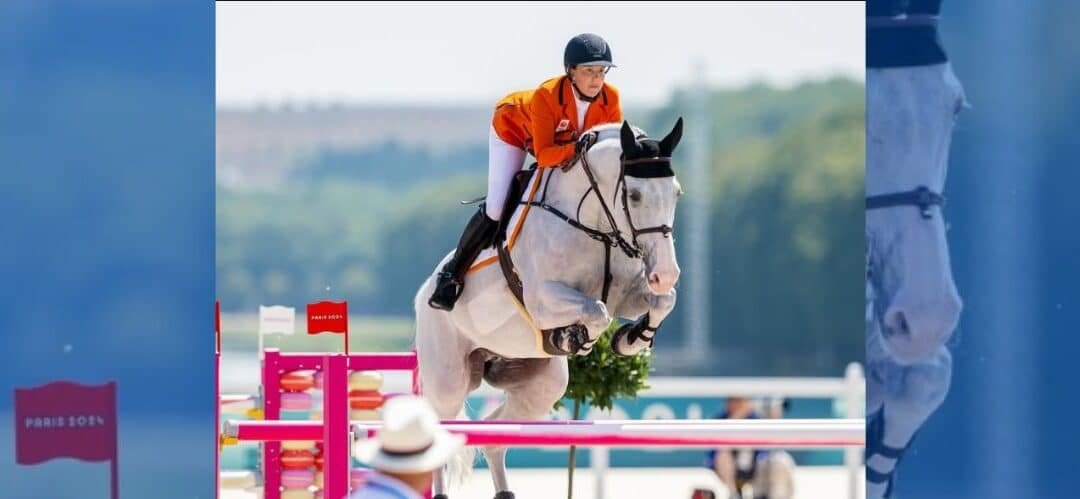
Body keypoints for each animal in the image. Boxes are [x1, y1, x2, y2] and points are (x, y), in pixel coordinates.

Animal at [413, 119, 685, 499]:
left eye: (676, 193)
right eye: (634, 195)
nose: (665, 273)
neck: (597, 227)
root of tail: (422, 292)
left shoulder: (628, 294)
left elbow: (662, 301)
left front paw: (631, 339)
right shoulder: (543, 299)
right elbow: (596, 311)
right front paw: (574, 339)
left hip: (542, 385)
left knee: (493, 433)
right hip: (449, 379)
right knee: (439, 428)